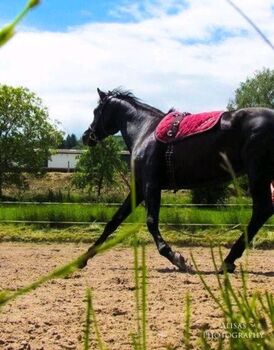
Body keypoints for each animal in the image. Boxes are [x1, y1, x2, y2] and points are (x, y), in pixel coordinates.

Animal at [82, 86, 274, 272]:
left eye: (96, 111)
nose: (86, 136)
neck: (145, 130)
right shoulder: (139, 187)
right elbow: (114, 221)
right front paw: (83, 258)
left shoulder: (151, 185)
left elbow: (151, 222)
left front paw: (175, 258)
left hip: (258, 175)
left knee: (262, 211)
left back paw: (227, 261)